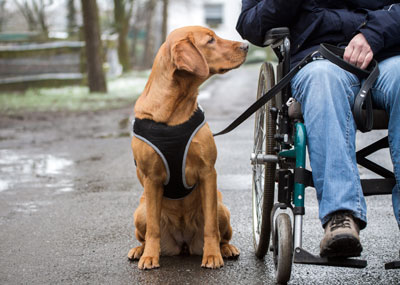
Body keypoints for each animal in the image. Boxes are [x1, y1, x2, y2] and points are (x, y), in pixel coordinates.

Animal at [129, 25, 247, 268]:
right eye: (210, 40)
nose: (246, 45)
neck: (174, 111)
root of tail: (183, 244)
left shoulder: (207, 172)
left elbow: (211, 226)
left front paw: (212, 255)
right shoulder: (151, 178)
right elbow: (153, 228)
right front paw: (149, 257)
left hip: (222, 208)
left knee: (222, 233)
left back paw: (226, 249)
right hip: (140, 211)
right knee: (145, 234)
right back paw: (140, 250)